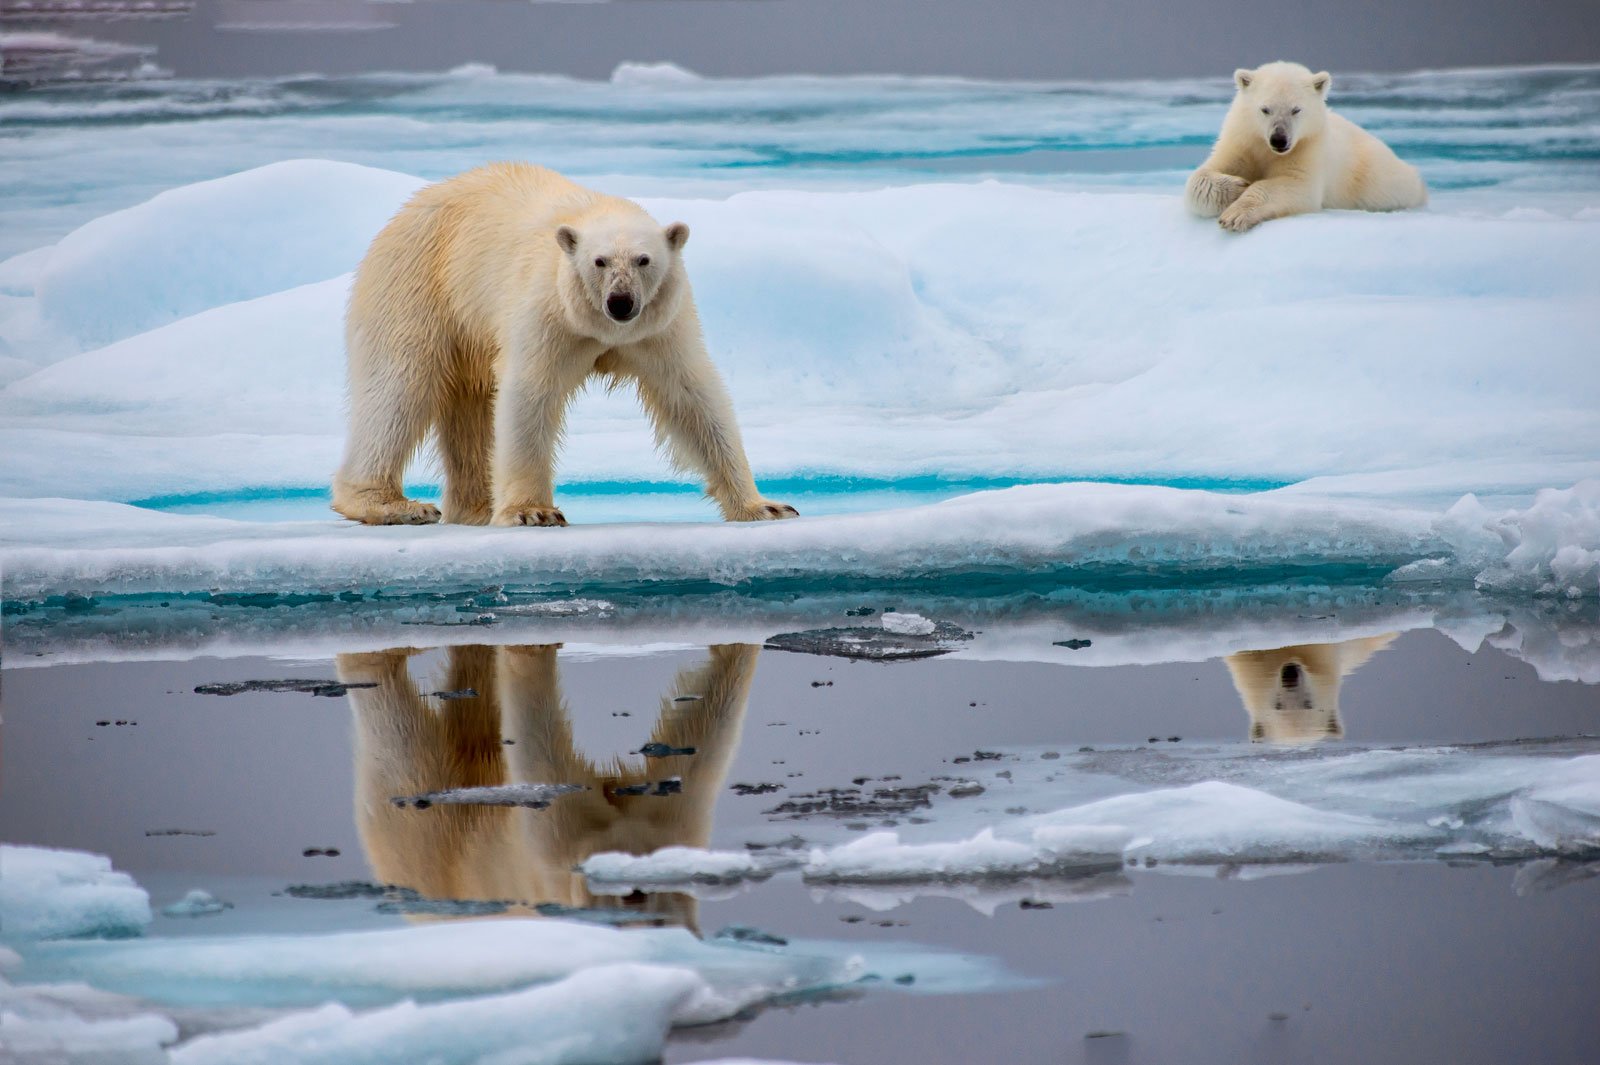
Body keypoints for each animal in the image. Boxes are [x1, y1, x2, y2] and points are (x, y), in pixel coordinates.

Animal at [332, 163, 800, 527]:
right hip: (419, 283)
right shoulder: (548, 311)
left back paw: (473, 506)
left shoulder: (660, 327)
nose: (620, 301)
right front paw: (532, 512)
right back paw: (395, 505)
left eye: (643, 260)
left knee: (467, 408)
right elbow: (529, 391)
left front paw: (765, 506)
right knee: (399, 387)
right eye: (600, 261)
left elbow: (692, 396)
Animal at [1184, 62, 1433, 231]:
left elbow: (1298, 186)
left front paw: (1236, 213)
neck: (1267, 149)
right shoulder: (1241, 140)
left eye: (1296, 109)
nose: (1279, 140)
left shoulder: (1308, 146)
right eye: (1265, 109)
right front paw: (1238, 186)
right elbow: (1202, 177)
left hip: (1377, 179)